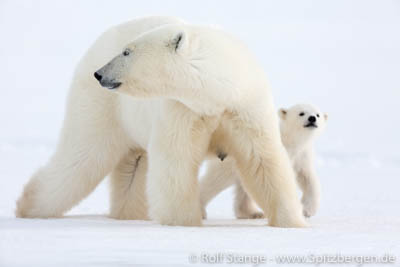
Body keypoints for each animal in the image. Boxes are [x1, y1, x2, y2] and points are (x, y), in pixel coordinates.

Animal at [14, 16, 304, 228]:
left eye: (126, 52)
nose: (100, 73)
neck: (218, 92)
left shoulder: (244, 107)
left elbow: (263, 160)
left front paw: (291, 222)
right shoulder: (182, 109)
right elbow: (176, 163)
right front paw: (184, 222)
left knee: (133, 165)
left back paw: (128, 214)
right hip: (102, 108)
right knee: (81, 159)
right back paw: (27, 207)